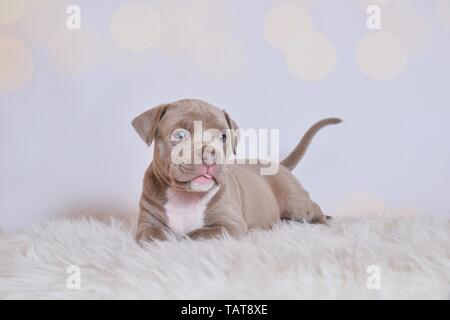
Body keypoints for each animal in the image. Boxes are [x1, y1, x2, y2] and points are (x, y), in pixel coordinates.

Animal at [132, 99, 340, 241]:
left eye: (223, 137)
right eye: (180, 135)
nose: (210, 153)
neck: (185, 197)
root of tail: (279, 164)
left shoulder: (230, 225)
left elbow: (197, 234)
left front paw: (183, 239)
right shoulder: (147, 223)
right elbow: (153, 236)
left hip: (295, 200)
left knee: (313, 209)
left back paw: (325, 226)